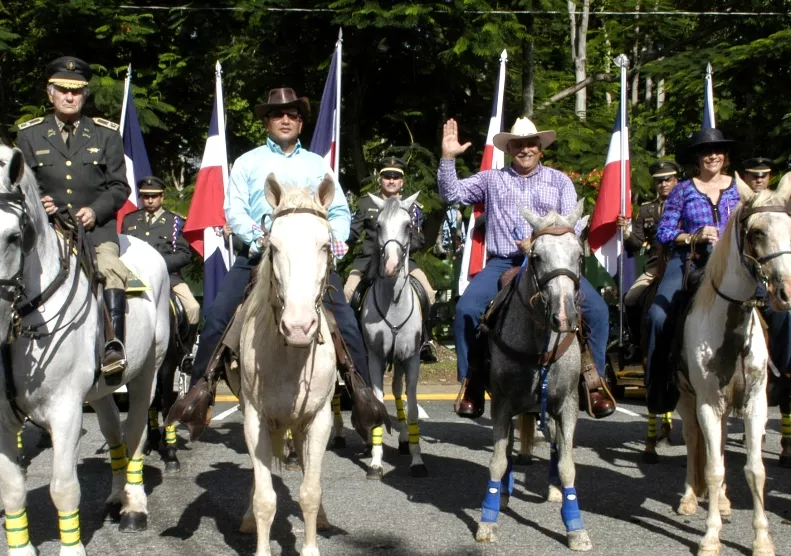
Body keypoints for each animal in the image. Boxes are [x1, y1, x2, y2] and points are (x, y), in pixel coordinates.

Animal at [0, 146, 172, 552]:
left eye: (14, 237)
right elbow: (11, 490)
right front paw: (21, 548)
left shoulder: (64, 408)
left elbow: (63, 487)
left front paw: (72, 547)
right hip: (101, 387)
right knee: (113, 429)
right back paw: (117, 494)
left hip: (147, 372)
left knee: (136, 431)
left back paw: (133, 506)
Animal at [234, 174, 336, 556]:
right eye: (274, 247)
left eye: (325, 246)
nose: (298, 327)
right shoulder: (255, 419)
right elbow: (265, 497)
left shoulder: (320, 419)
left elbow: (310, 491)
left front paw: (310, 547)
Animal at [476, 201, 592, 552]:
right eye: (537, 256)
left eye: (578, 255)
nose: (565, 316)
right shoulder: (501, 402)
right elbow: (498, 459)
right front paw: (488, 518)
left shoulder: (567, 404)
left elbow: (568, 464)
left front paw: (575, 527)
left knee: (554, 442)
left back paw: (553, 489)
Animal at [676, 175, 791, 556]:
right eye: (756, 232)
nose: (786, 293)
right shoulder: (707, 403)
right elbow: (712, 469)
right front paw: (711, 537)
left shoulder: (756, 403)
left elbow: (755, 470)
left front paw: (762, 540)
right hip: (687, 398)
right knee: (693, 440)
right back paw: (689, 497)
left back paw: (724, 503)